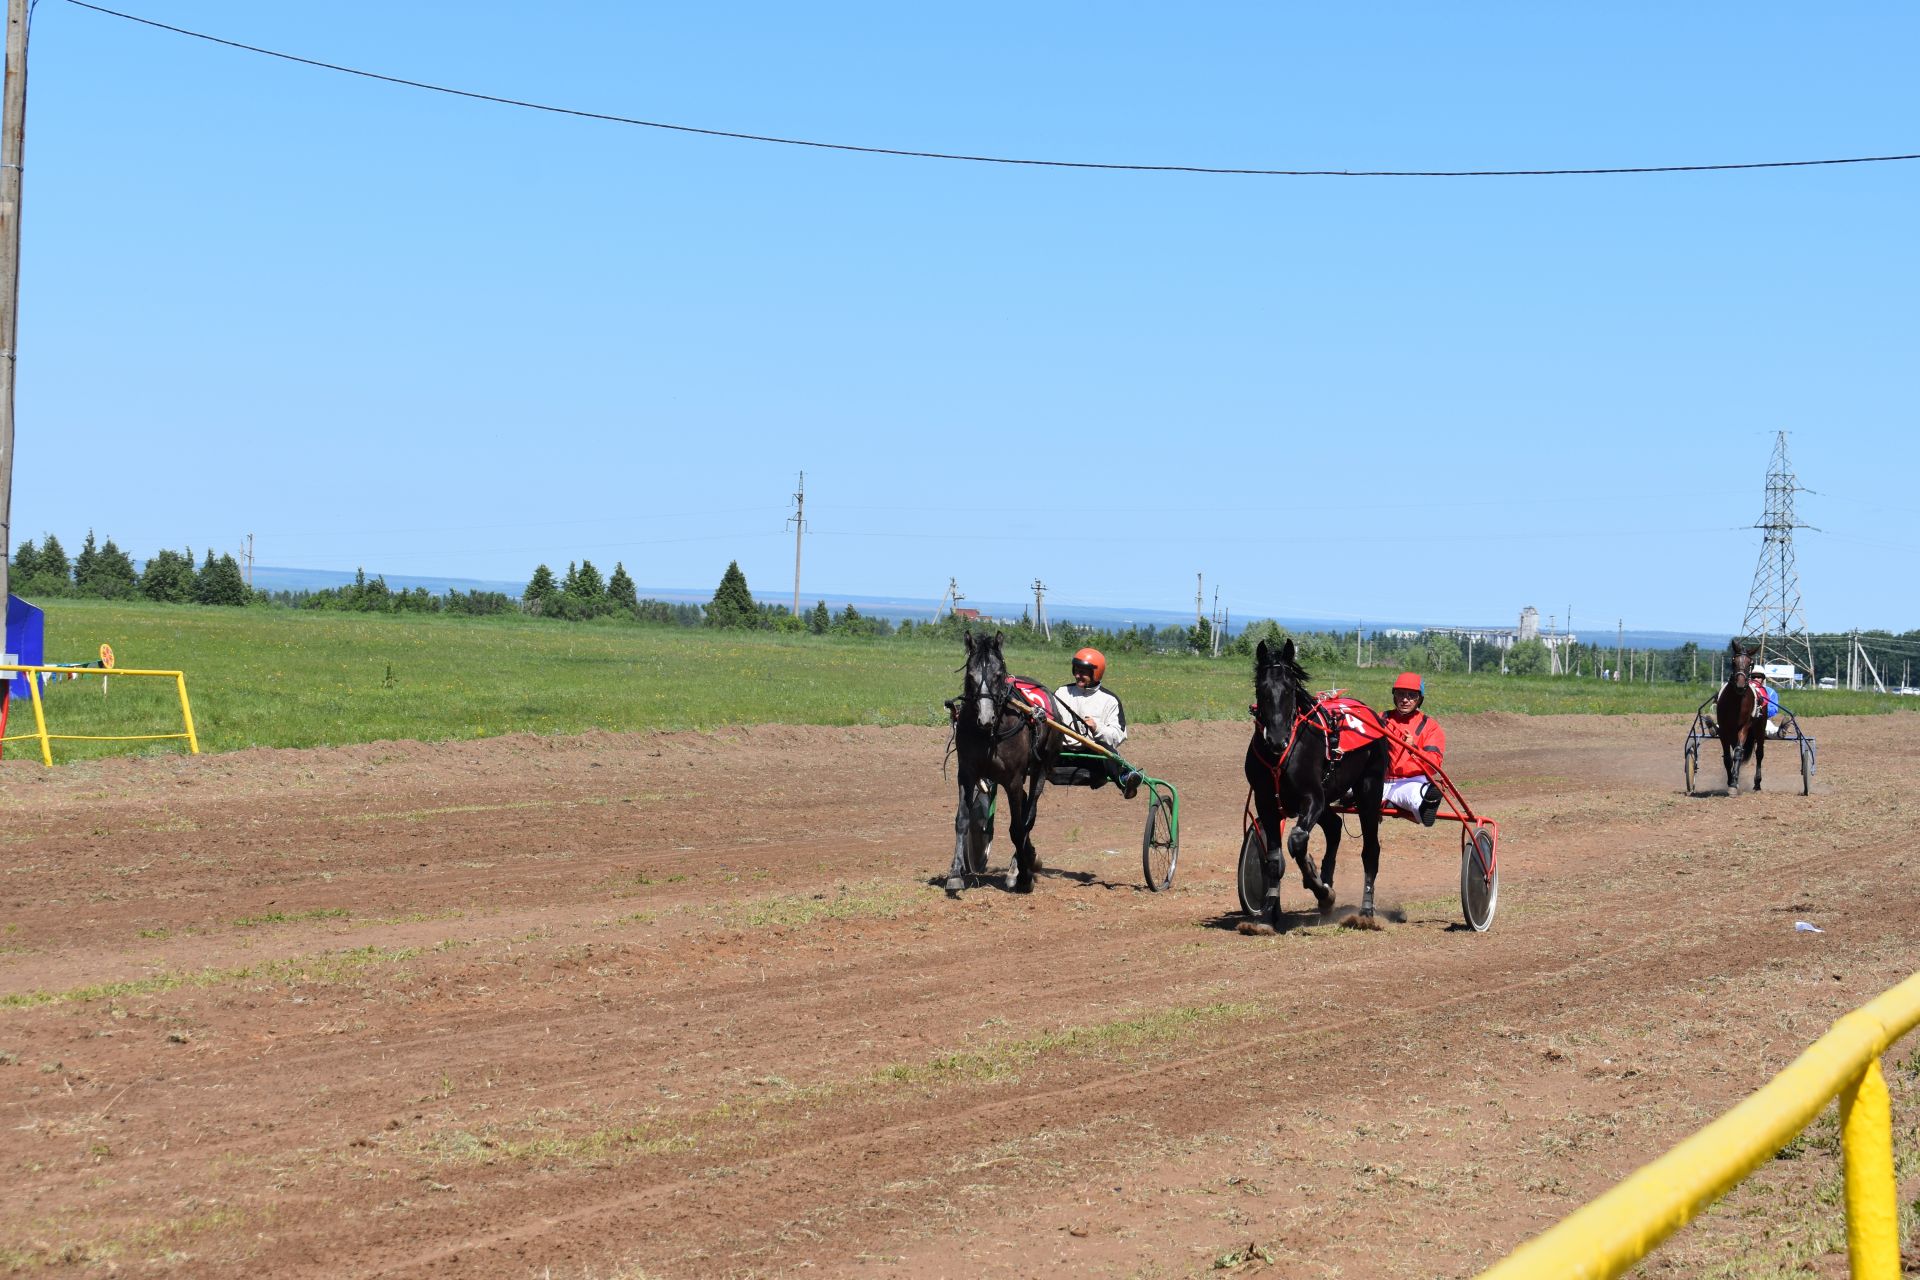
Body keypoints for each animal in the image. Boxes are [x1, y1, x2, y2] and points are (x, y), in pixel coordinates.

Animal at [944, 637, 1067, 898]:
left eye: (998, 674)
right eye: (971, 674)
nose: (985, 718)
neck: (990, 733)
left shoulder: (1013, 780)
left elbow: (1018, 828)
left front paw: (1024, 877)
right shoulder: (966, 774)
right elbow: (963, 820)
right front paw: (955, 874)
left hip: (1040, 769)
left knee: (1029, 813)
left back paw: (1020, 865)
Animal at [1244, 644, 1397, 924]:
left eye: (1290, 688)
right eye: (1262, 688)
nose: (1277, 739)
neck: (1281, 755)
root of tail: (1371, 714)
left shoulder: (1312, 797)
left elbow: (1297, 841)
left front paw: (1322, 890)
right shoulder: (1266, 802)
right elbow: (1274, 860)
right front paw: (1268, 913)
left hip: (1369, 789)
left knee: (1371, 850)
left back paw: (1365, 910)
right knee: (1335, 826)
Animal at [1720, 640, 1758, 790]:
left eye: (1750, 663)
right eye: (1733, 661)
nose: (1740, 685)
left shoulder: (1744, 727)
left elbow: (1738, 753)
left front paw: (1734, 781)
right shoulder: (1724, 729)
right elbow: (1727, 757)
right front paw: (1730, 779)